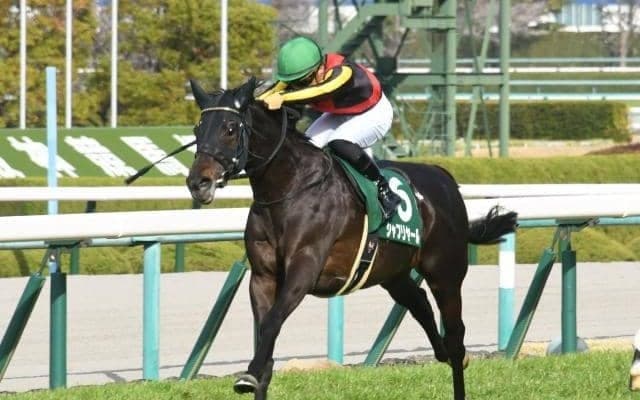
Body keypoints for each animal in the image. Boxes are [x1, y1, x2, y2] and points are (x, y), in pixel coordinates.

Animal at [185, 77, 518, 400]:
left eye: (230, 129)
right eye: (197, 129)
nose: (197, 182)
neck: (289, 188)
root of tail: (445, 176)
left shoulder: (304, 270)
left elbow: (271, 325)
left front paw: (248, 376)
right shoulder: (263, 276)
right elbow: (267, 340)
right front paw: (255, 373)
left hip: (445, 273)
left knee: (456, 337)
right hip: (393, 273)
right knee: (420, 305)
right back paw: (442, 351)